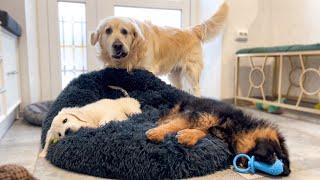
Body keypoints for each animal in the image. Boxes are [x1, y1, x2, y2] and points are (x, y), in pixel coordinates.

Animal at [91, 2, 229, 95]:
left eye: (124, 31)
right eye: (108, 31)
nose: (117, 46)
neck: (133, 53)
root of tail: (191, 30)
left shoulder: (147, 71)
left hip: (191, 72)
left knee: (196, 91)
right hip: (175, 74)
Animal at [146, 97, 292, 176]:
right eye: (278, 156)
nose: (287, 172)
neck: (236, 126)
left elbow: (205, 131)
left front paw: (189, 135)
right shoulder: (198, 115)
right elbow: (176, 124)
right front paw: (157, 133)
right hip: (181, 108)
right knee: (169, 116)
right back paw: (161, 122)